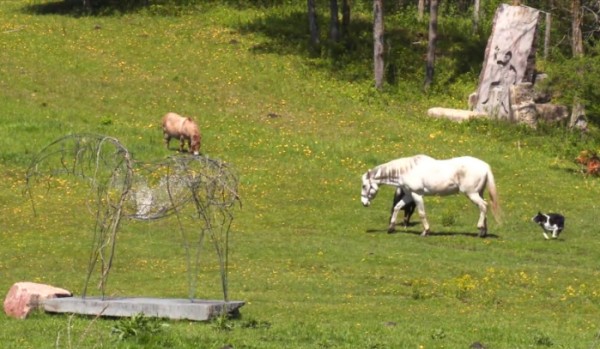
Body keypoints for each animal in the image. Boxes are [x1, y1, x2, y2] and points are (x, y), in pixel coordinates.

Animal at [360, 154, 502, 237]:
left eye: (364, 186)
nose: (363, 203)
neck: (406, 170)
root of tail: (485, 167)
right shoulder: (409, 195)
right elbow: (397, 207)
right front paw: (390, 228)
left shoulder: (417, 195)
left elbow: (422, 213)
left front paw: (425, 231)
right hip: (479, 193)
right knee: (483, 208)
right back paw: (483, 232)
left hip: (471, 194)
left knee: (483, 206)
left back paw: (480, 228)